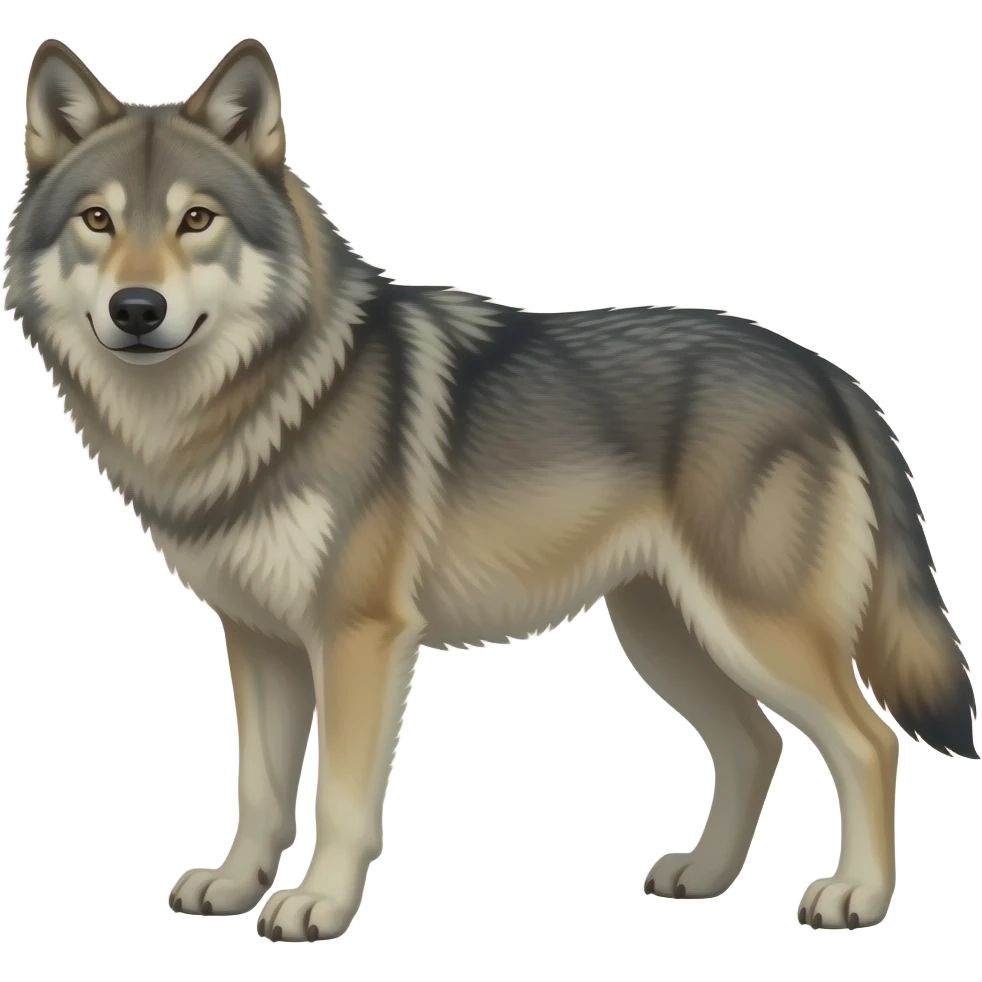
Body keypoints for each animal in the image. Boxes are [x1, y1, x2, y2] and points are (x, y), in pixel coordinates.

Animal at [3, 36, 977, 942]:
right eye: (98, 219)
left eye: (196, 218)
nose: (136, 309)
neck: (251, 404)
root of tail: (826, 373)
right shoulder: (260, 640)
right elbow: (261, 790)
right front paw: (237, 886)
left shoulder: (358, 637)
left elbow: (344, 798)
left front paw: (318, 904)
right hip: (667, 634)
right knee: (756, 742)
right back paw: (704, 876)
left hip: (753, 629)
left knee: (868, 741)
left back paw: (855, 896)